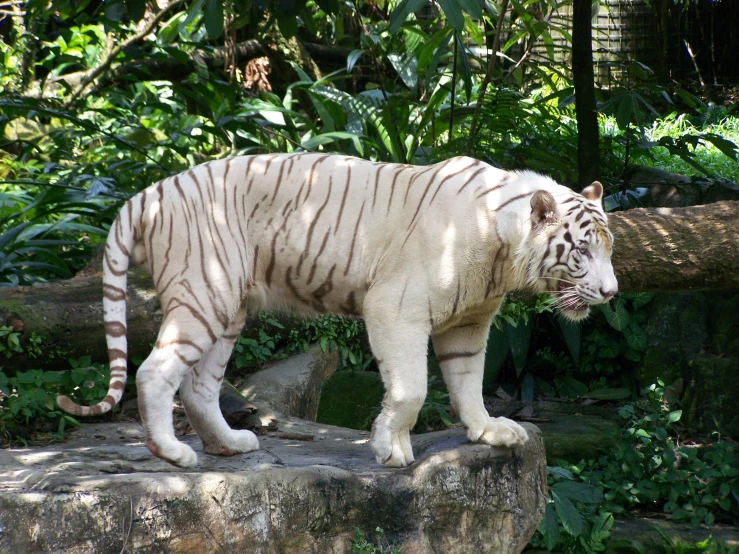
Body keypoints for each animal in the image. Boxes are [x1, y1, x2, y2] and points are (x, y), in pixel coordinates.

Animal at [57, 154, 620, 466]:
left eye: (610, 247)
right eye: (582, 250)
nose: (613, 292)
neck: (503, 249)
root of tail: (150, 191)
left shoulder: (468, 323)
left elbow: (466, 383)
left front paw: (489, 430)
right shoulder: (396, 307)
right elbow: (412, 389)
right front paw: (390, 449)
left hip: (227, 306)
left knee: (198, 385)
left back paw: (230, 444)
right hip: (204, 292)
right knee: (154, 372)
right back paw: (174, 454)